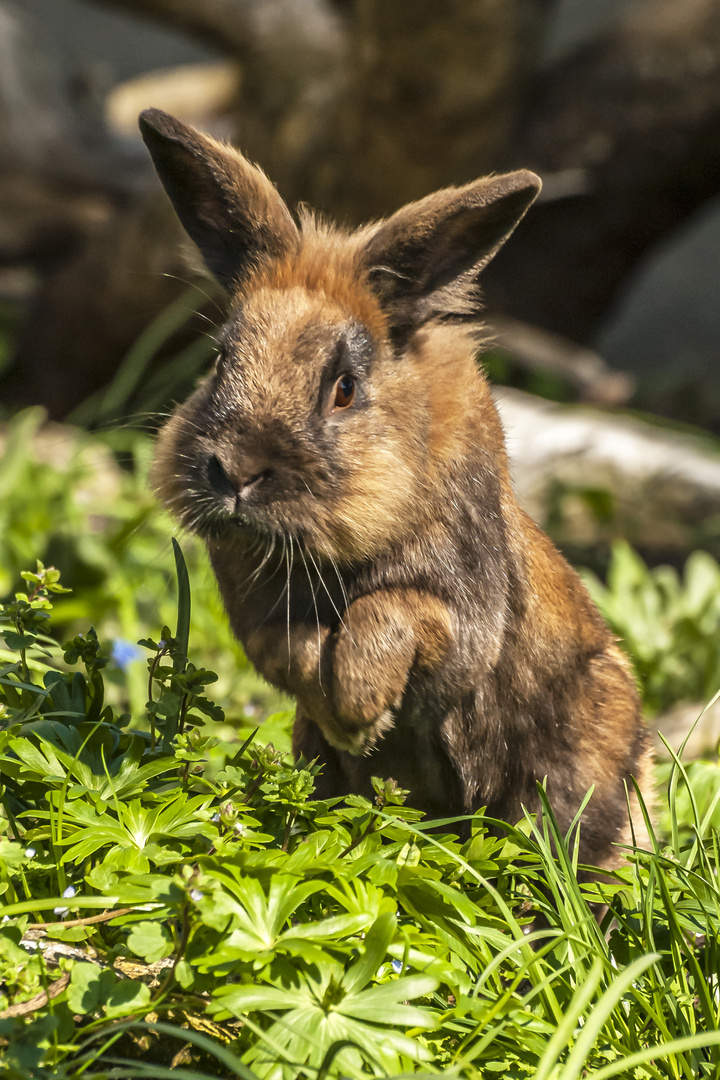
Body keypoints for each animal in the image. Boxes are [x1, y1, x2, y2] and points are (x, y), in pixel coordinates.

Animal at [140, 107, 651, 868]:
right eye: (222, 358)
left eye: (344, 388)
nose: (233, 472)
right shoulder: (260, 614)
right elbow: (289, 650)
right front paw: (350, 721)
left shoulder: (459, 616)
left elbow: (388, 613)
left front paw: (361, 708)